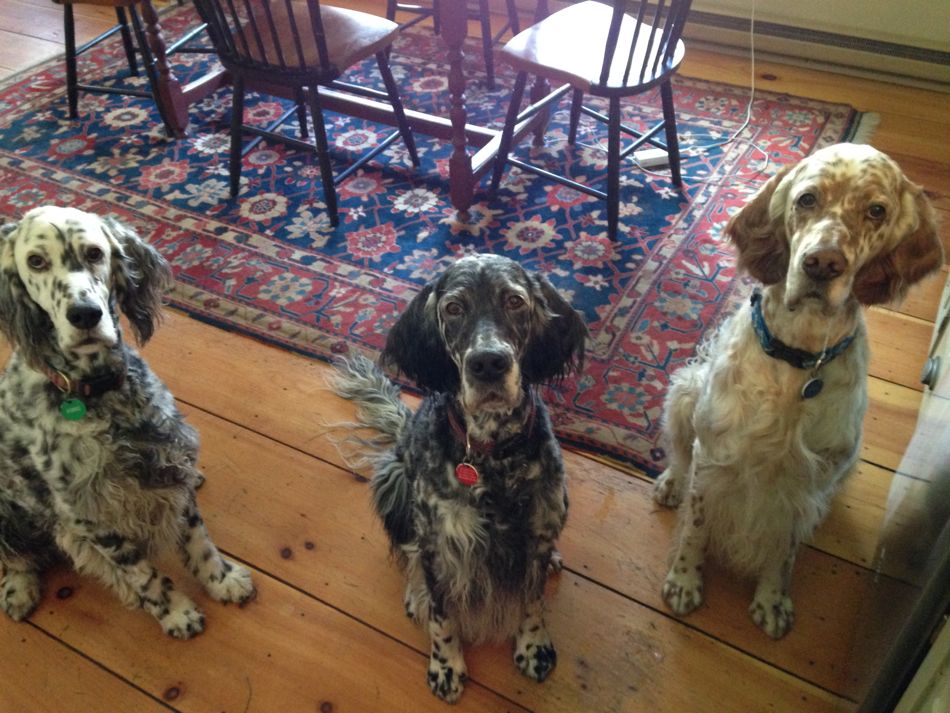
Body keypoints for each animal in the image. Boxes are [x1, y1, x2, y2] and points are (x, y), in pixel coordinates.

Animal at [0, 204, 256, 636]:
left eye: (94, 253)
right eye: (36, 261)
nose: (85, 314)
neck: (100, 396)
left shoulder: (168, 459)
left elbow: (198, 537)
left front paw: (221, 579)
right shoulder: (89, 516)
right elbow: (142, 573)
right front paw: (175, 611)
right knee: (15, 558)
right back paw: (18, 590)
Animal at [332, 252, 588, 700]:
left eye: (514, 301)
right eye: (453, 308)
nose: (488, 363)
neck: (491, 455)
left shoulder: (536, 534)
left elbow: (533, 602)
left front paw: (533, 647)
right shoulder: (439, 544)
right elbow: (442, 615)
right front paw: (447, 664)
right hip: (394, 482)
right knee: (408, 550)